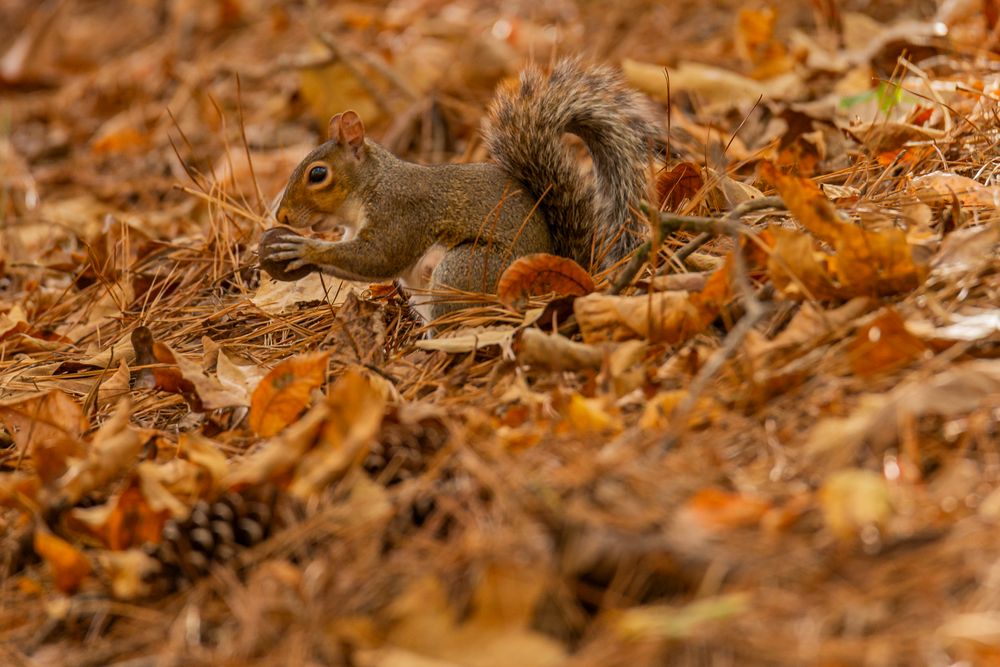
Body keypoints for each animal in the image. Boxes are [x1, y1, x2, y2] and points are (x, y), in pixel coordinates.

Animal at [260, 56, 656, 320]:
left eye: (317, 174)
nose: (282, 215)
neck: (372, 185)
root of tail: (558, 277)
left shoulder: (401, 212)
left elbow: (379, 257)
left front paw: (304, 249)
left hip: (467, 269)